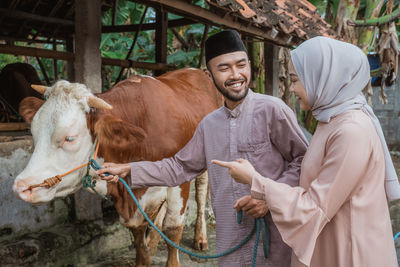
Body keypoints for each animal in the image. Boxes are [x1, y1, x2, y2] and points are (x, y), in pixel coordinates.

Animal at [12, 68, 223, 266]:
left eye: (70, 138)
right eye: (33, 131)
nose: (20, 187)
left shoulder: (179, 181)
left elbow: (172, 229)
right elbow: (140, 241)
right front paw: (146, 251)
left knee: (201, 193)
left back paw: (200, 238)